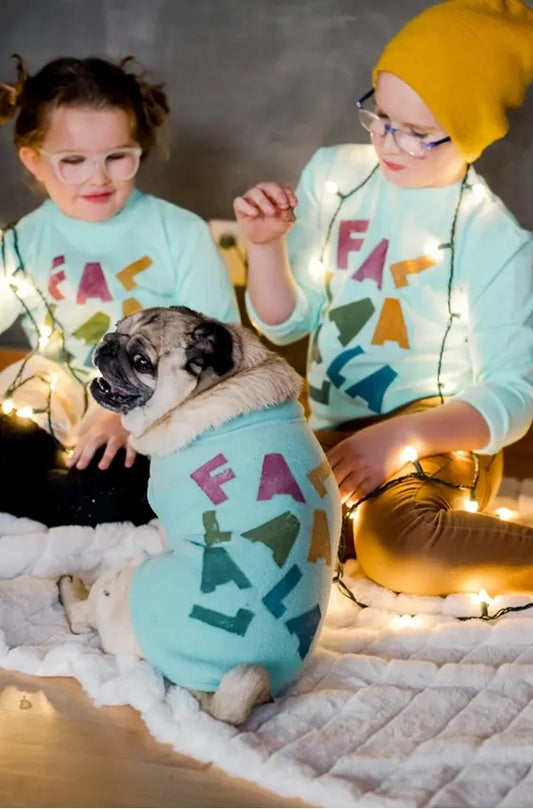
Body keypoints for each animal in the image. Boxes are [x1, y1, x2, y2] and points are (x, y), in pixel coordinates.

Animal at [58, 306, 340, 724]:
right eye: (116, 329)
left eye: (141, 362)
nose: (107, 345)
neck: (216, 386)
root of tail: (215, 692)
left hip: (120, 581)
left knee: (81, 619)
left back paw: (70, 587)